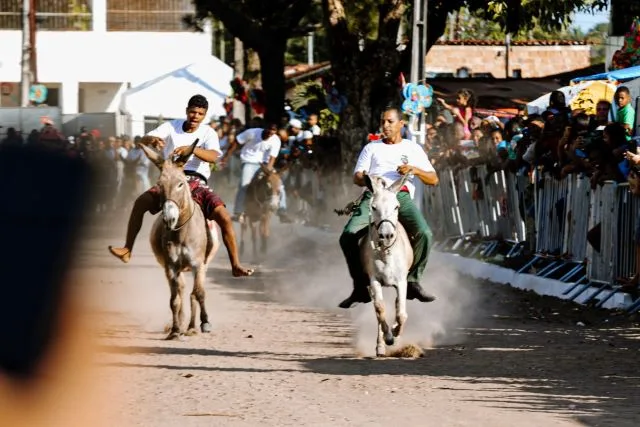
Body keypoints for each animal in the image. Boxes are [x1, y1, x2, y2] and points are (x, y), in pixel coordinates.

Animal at [139, 140, 221, 342]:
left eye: (180, 184)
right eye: (159, 185)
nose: (169, 218)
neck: (182, 233)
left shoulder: (198, 264)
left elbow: (198, 293)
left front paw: (204, 323)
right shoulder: (171, 266)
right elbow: (174, 299)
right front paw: (175, 330)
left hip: (203, 265)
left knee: (194, 293)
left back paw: (192, 326)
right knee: (182, 291)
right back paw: (183, 325)